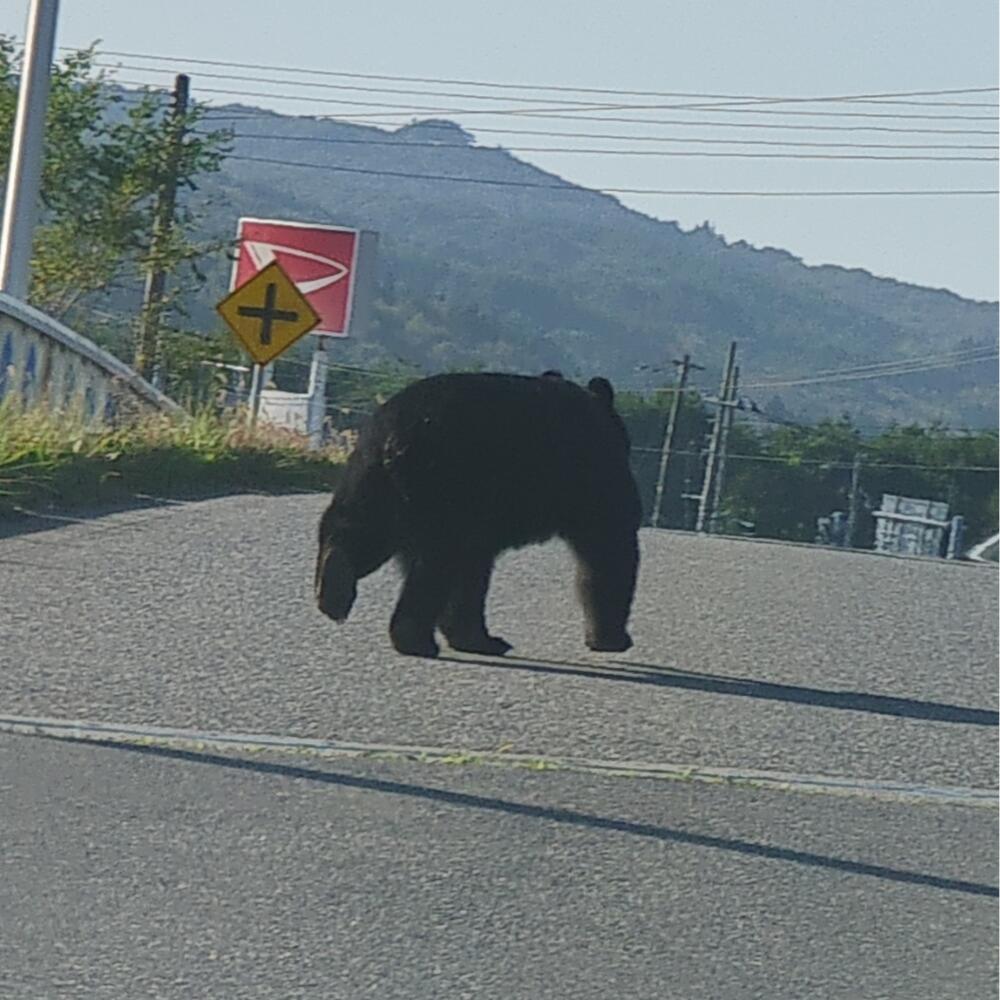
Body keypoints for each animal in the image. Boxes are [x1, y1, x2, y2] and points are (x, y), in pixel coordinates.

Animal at [315, 371, 641, 658]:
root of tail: (395, 436)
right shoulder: (594, 474)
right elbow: (610, 546)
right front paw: (612, 638)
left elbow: (472, 574)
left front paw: (474, 638)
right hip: (444, 484)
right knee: (436, 561)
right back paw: (415, 639)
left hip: (375, 480)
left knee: (362, 530)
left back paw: (332, 587)